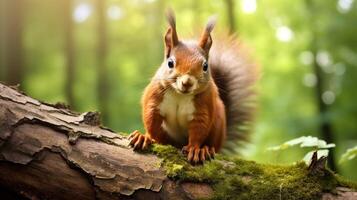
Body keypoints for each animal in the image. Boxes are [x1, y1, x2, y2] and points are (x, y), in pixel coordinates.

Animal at [129, 10, 258, 164]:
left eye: (205, 66)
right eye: (170, 63)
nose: (187, 83)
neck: (179, 95)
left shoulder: (203, 106)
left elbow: (199, 130)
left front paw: (195, 149)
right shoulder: (155, 97)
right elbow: (152, 121)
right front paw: (146, 137)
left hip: (219, 121)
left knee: (213, 143)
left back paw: (206, 149)